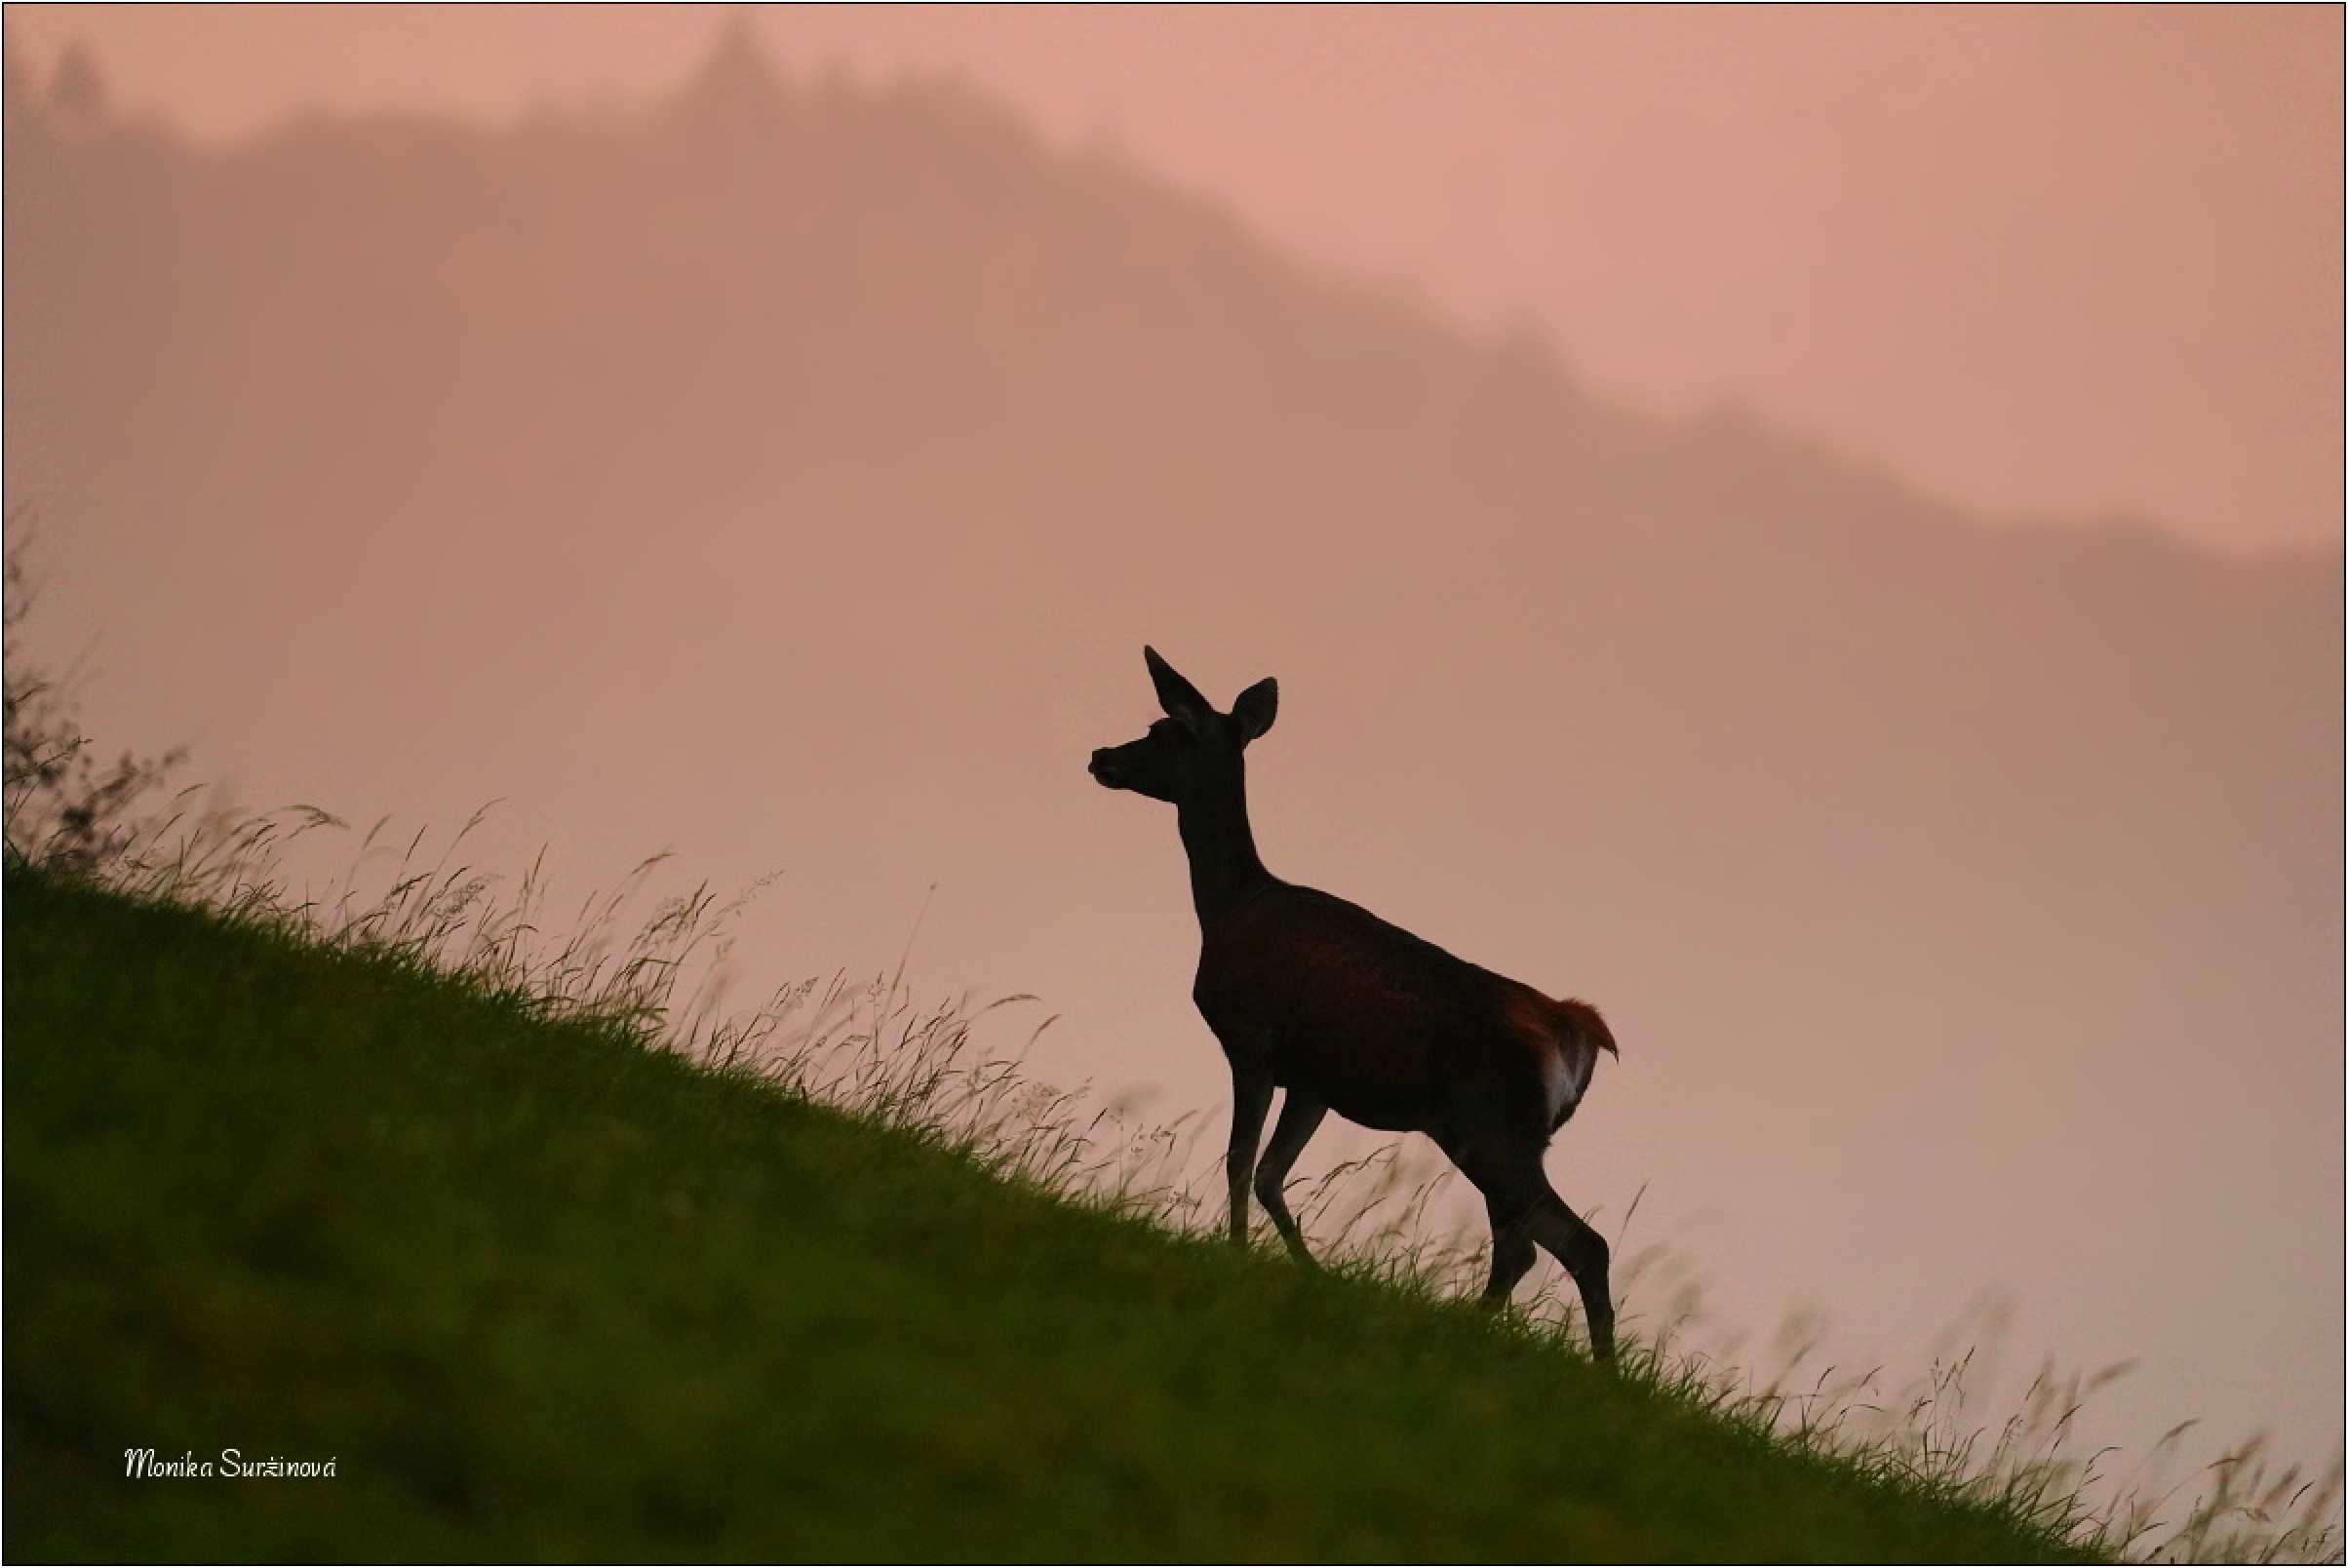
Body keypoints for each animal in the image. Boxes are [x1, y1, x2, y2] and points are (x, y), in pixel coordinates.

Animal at [1089, 647, 1624, 1361]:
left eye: (1164, 729)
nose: (1101, 756)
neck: (1229, 907)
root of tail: (1576, 1029)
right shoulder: (1315, 1081)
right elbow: (1270, 1173)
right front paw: (1308, 1270)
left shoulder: (1253, 1042)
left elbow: (1238, 1162)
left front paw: (1236, 1256)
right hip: (1501, 1135)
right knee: (1539, 1245)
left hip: (1491, 1126)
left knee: (1565, 1246)